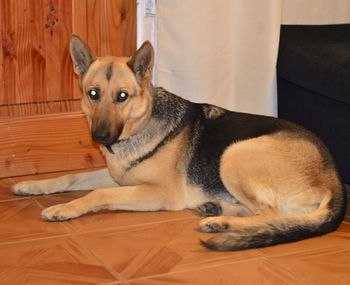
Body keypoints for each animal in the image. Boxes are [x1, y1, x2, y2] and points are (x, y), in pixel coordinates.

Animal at [11, 34, 348, 250]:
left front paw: (64, 209)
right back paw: (217, 210)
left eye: (122, 96)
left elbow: (97, 193)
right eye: (93, 94)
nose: (101, 138)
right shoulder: (117, 176)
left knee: (272, 213)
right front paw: (31, 186)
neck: (141, 125)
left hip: (234, 153)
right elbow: (70, 177)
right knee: (263, 213)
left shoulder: (159, 193)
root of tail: (334, 179)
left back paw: (222, 223)